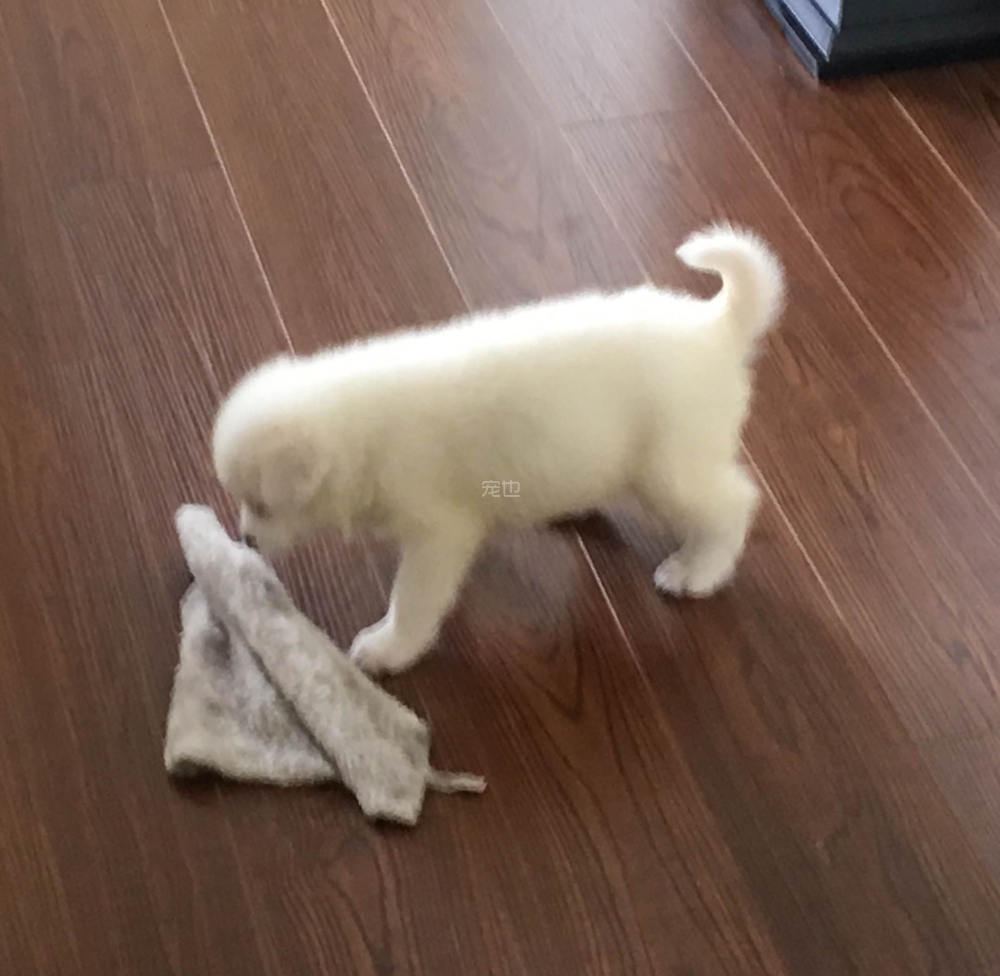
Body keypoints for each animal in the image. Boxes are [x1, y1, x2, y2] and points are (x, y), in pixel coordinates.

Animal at [213, 225, 784, 675]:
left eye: (262, 505)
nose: (246, 539)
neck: (358, 432)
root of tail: (715, 327)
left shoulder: (440, 532)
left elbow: (413, 598)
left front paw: (388, 648)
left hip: (670, 466)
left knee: (734, 503)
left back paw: (697, 571)